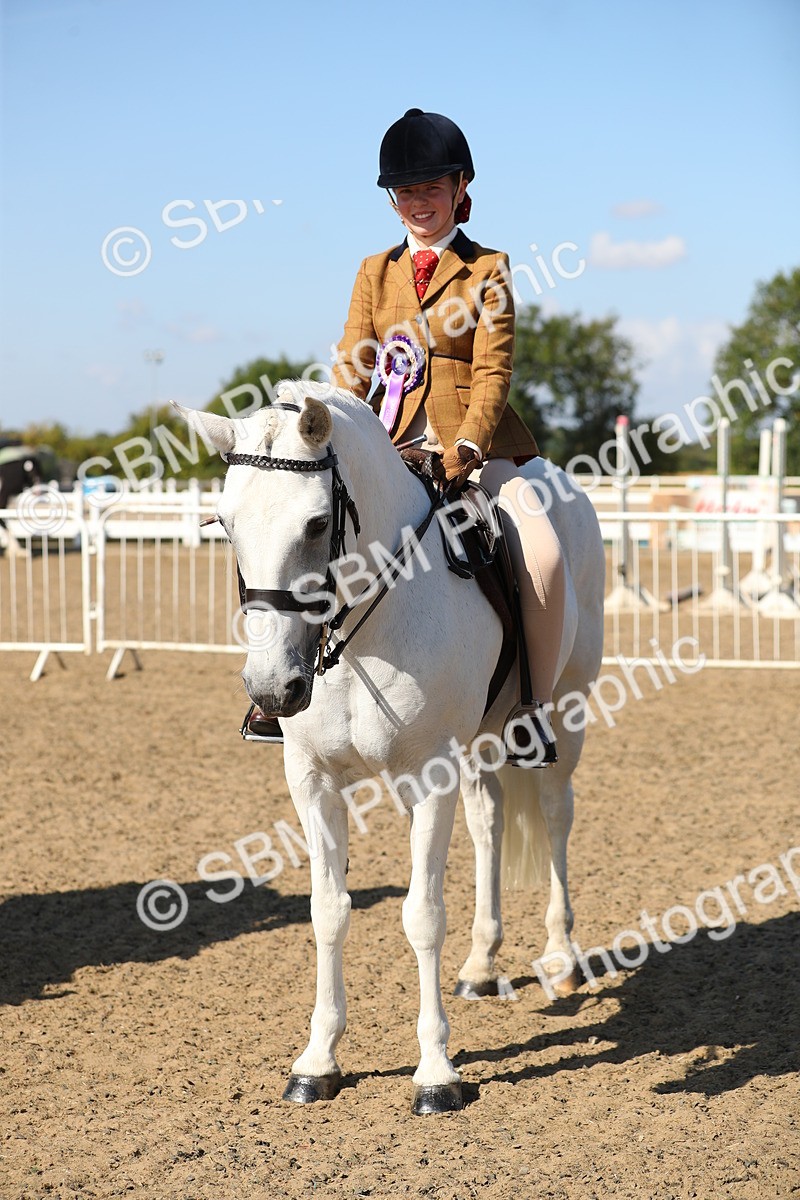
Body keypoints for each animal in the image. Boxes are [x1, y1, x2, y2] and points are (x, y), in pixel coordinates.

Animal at [175, 381, 605, 1115]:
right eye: (226, 525)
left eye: (316, 525)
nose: (273, 688)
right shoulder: (313, 780)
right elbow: (328, 911)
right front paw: (317, 1061)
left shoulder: (426, 776)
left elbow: (422, 915)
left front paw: (436, 1073)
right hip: (477, 744)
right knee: (489, 823)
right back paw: (481, 964)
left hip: (563, 716)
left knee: (555, 817)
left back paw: (560, 957)